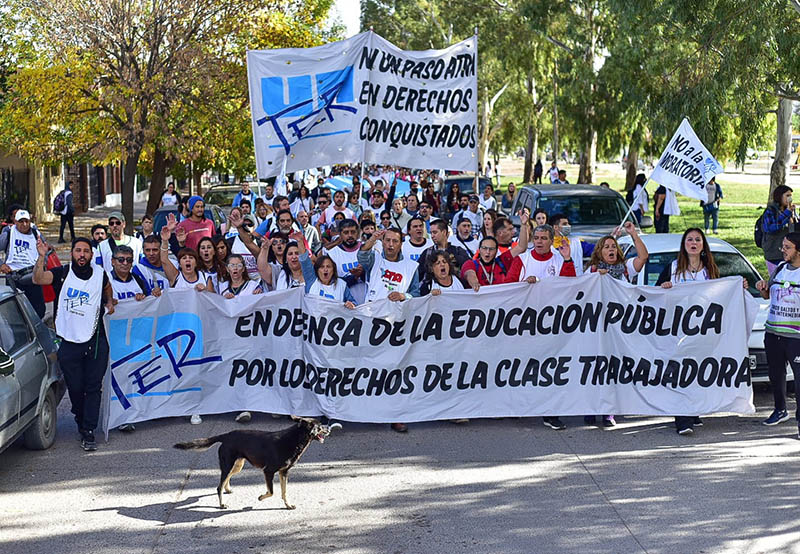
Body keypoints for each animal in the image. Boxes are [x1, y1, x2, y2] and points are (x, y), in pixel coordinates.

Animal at [173, 414, 340, 508]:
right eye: (320, 426)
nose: (329, 428)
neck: (295, 438)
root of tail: (226, 435)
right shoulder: (268, 471)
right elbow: (271, 492)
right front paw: (261, 497)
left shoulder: (284, 472)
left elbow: (284, 492)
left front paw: (287, 505)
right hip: (228, 464)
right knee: (218, 486)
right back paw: (221, 504)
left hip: (237, 465)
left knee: (226, 480)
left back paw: (228, 489)